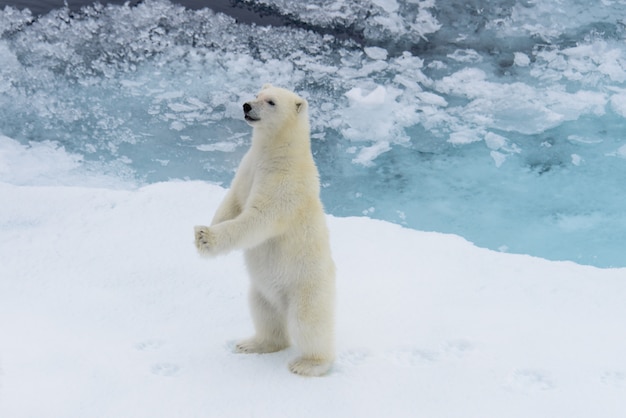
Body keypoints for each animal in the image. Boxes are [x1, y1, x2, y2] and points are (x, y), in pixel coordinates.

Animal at [193, 84, 334, 376]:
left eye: (271, 102)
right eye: (257, 93)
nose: (246, 105)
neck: (275, 153)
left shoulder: (284, 184)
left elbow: (257, 220)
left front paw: (206, 237)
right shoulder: (247, 169)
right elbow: (232, 202)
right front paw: (204, 233)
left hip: (307, 286)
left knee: (309, 323)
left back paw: (309, 364)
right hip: (262, 290)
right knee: (264, 313)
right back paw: (252, 344)